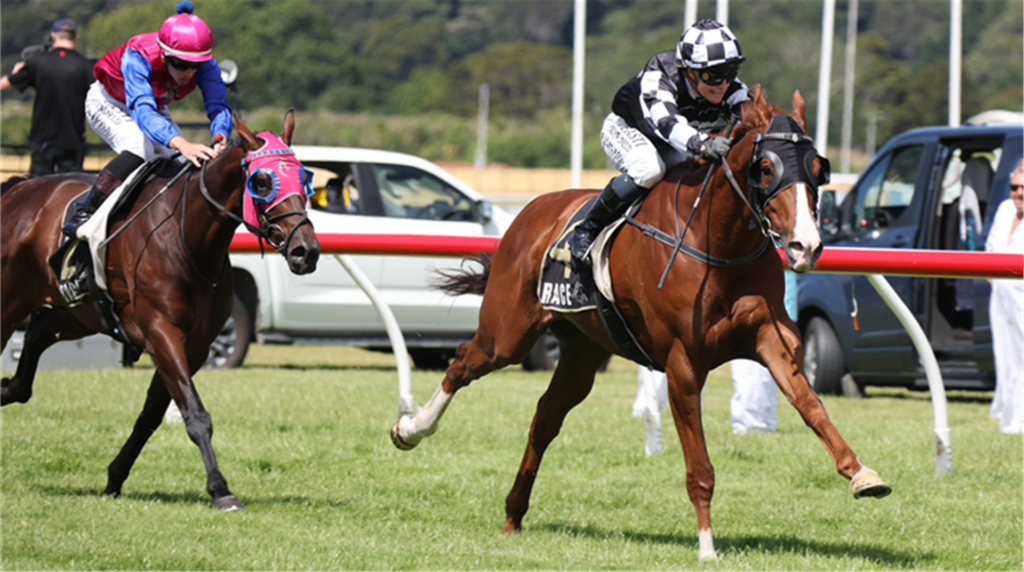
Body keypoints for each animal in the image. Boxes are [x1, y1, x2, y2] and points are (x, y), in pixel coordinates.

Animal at [0, 111, 320, 510]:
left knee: (39, 332)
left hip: (79, 313)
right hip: (12, 297)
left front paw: (115, 477)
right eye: (262, 181)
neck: (190, 241)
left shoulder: (195, 345)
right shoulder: (162, 332)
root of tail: (17, 187)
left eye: (305, 177)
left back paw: (8, 388)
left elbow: (153, 414)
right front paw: (221, 489)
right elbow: (195, 414)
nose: (306, 252)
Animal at [390, 88, 890, 560]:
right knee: (462, 362)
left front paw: (862, 473)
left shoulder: (769, 337)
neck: (719, 244)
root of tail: (529, 213)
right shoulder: (682, 364)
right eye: (765, 168)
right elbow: (699, 466)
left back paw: (514, 514)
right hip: (508, 333)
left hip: (583, 351)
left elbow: (811, 405)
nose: (806, 246)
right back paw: (410, 429)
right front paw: (707, 545)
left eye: (818, 167)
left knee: (545, 418)